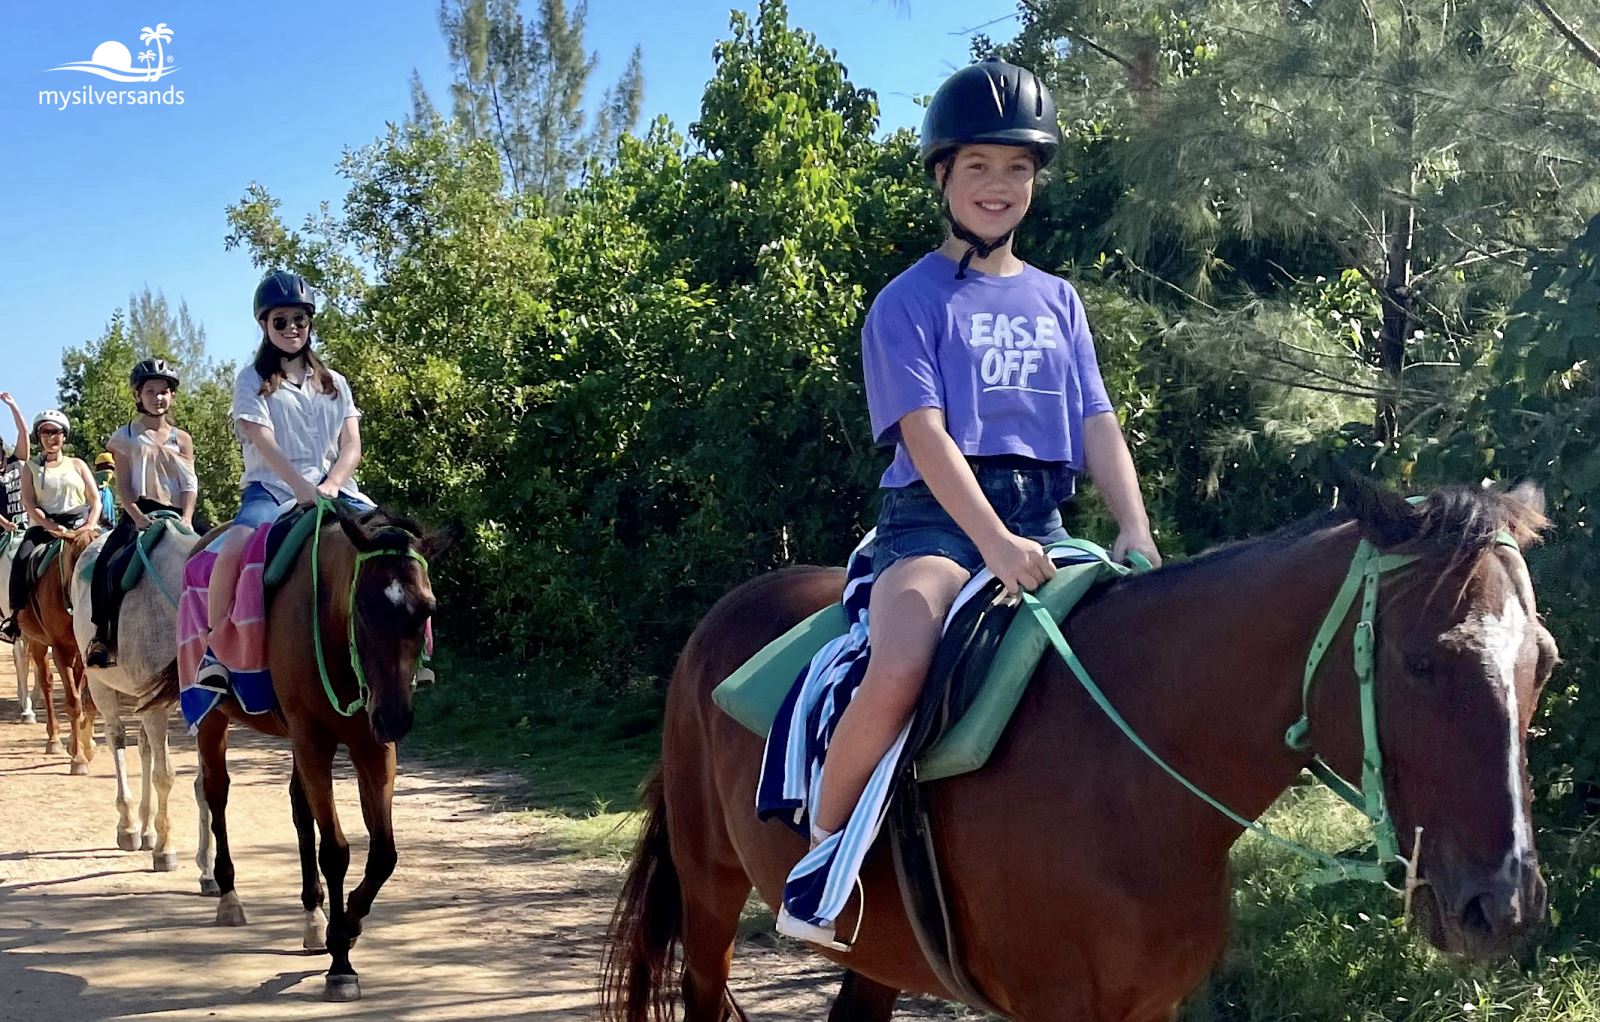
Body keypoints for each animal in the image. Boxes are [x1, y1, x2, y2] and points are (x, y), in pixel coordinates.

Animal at [16, 530, 97, 770]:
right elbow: (73, 700)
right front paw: (78, 759)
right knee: (46, 682)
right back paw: (53, 739)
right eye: (79, 562)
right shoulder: (61, 650)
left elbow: (85, 698)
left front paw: (84, 743)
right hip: (37, 641)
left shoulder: (83, 651)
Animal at [601, 483, 1561, 1017]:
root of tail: (720, 620)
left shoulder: (1151, 1006)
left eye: (1543, 662)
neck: (1132, 781)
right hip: (710, 893)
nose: (1503, 904)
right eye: (1420, 661)